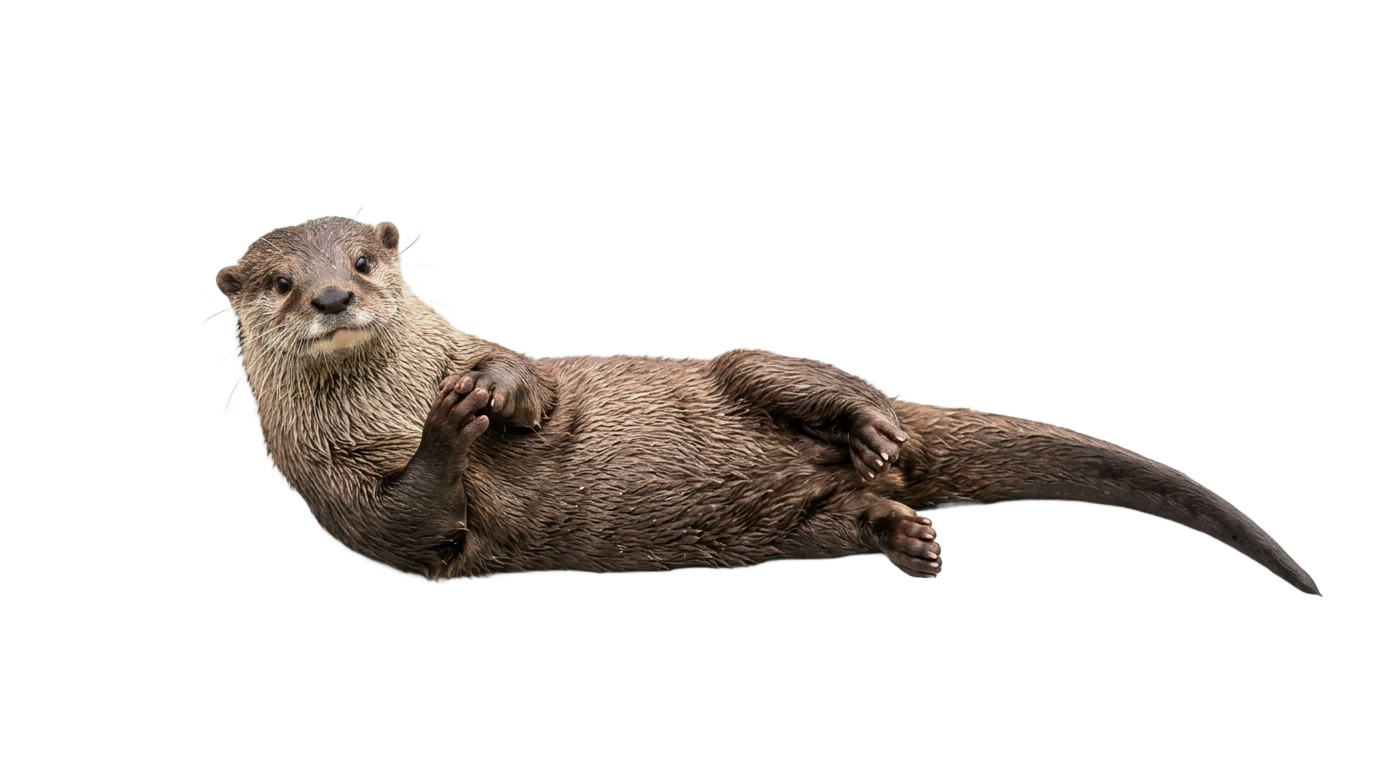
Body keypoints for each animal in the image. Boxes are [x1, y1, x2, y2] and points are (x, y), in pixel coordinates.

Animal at [215, 214, 1319, 597]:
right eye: (278, 283)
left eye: (363, 261)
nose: (331, 296)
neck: (391, 400)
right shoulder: (339, 499)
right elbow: (411, 520)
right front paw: (453, 430)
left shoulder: (487, 343)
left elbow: (540, 380)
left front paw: (493, 390)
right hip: (793, 527)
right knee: (849, 519)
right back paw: (903, 532)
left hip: (750, 365)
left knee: (815, 384)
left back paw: (869, 430)